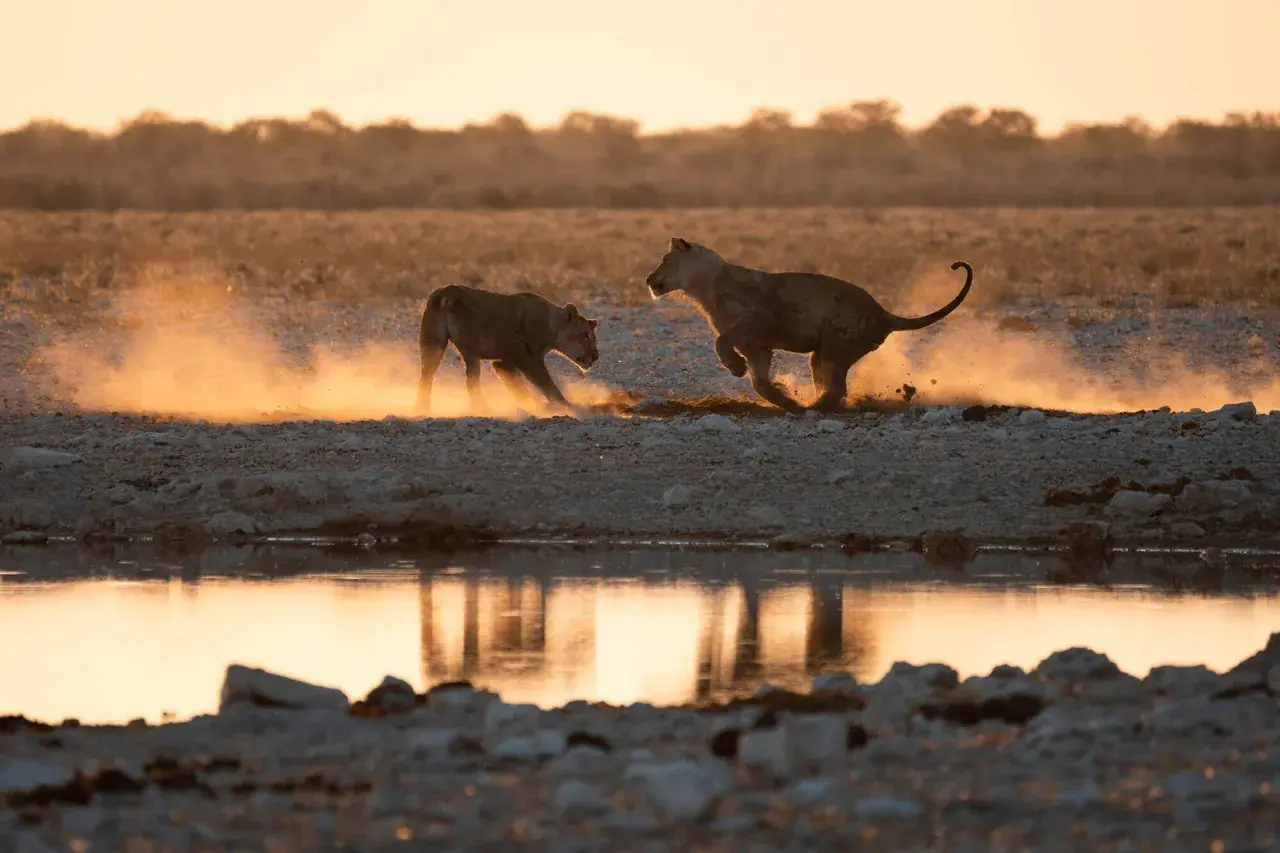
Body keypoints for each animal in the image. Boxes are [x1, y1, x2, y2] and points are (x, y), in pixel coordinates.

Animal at [414, 284, 601, 416]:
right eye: (586, 335)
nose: (596, 356)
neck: (551, 326)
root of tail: (447, 292)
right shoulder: (527, 357)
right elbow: (548, 385)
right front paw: (569, 408)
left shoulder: (503, 362)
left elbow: (519, 389)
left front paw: (533, 406)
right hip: (471, 348)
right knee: (471, 383)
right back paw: (483, 410)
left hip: (432, 344)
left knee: (426, 377)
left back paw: (423, 409)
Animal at [644, 237, 974, 413]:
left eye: (665, 259)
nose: (648, 279)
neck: (703, 289)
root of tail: (884, 313)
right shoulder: (757, 347)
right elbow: (759, 383)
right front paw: (784, 400)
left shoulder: (758, 321)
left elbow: (721, 341)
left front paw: (735, 368)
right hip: (822, 354)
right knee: (828, 383)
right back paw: (810, 404)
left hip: (837, 345)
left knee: (836, 388)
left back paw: (813, 408)